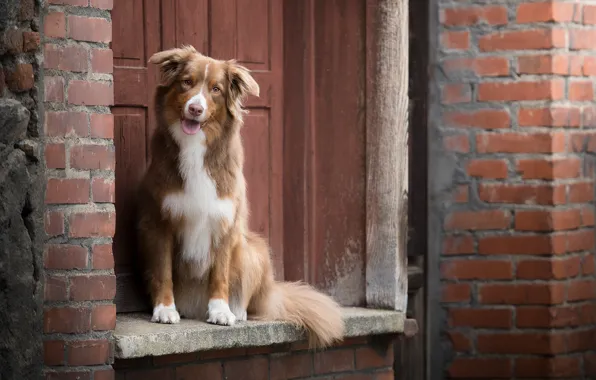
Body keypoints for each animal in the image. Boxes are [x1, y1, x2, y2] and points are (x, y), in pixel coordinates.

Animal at [136, 44, 344, 348]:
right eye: (186, 82)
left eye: (216, 89)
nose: (195, 108)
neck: (196, 149)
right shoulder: (158, 222)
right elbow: (163, 272)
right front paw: (164, 309)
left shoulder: (225, 223)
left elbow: (220, 273)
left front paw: (220, 311)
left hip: (254, 249)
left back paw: (238, 311)